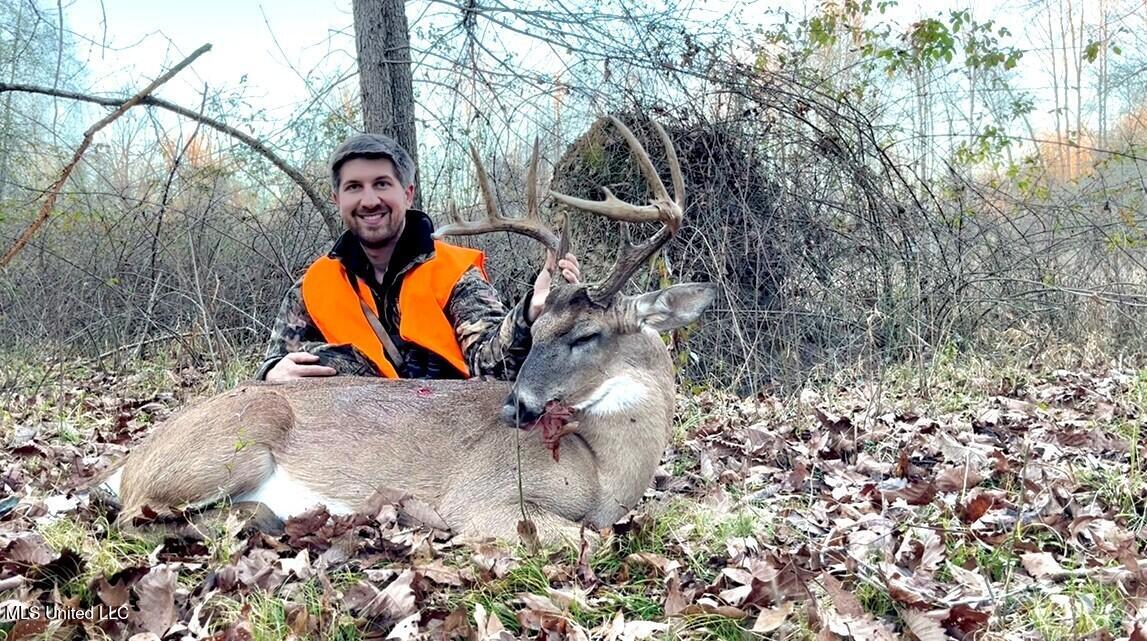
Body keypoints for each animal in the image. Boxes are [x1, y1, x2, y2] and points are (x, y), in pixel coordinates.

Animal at [98, 117, 716, 545]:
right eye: (539, 330)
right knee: (134, 518)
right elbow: (589, 539)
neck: (604, 471)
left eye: (586, 334)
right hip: (237, 444)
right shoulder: (486, 497)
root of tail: (130, 459)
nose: (514, 407)